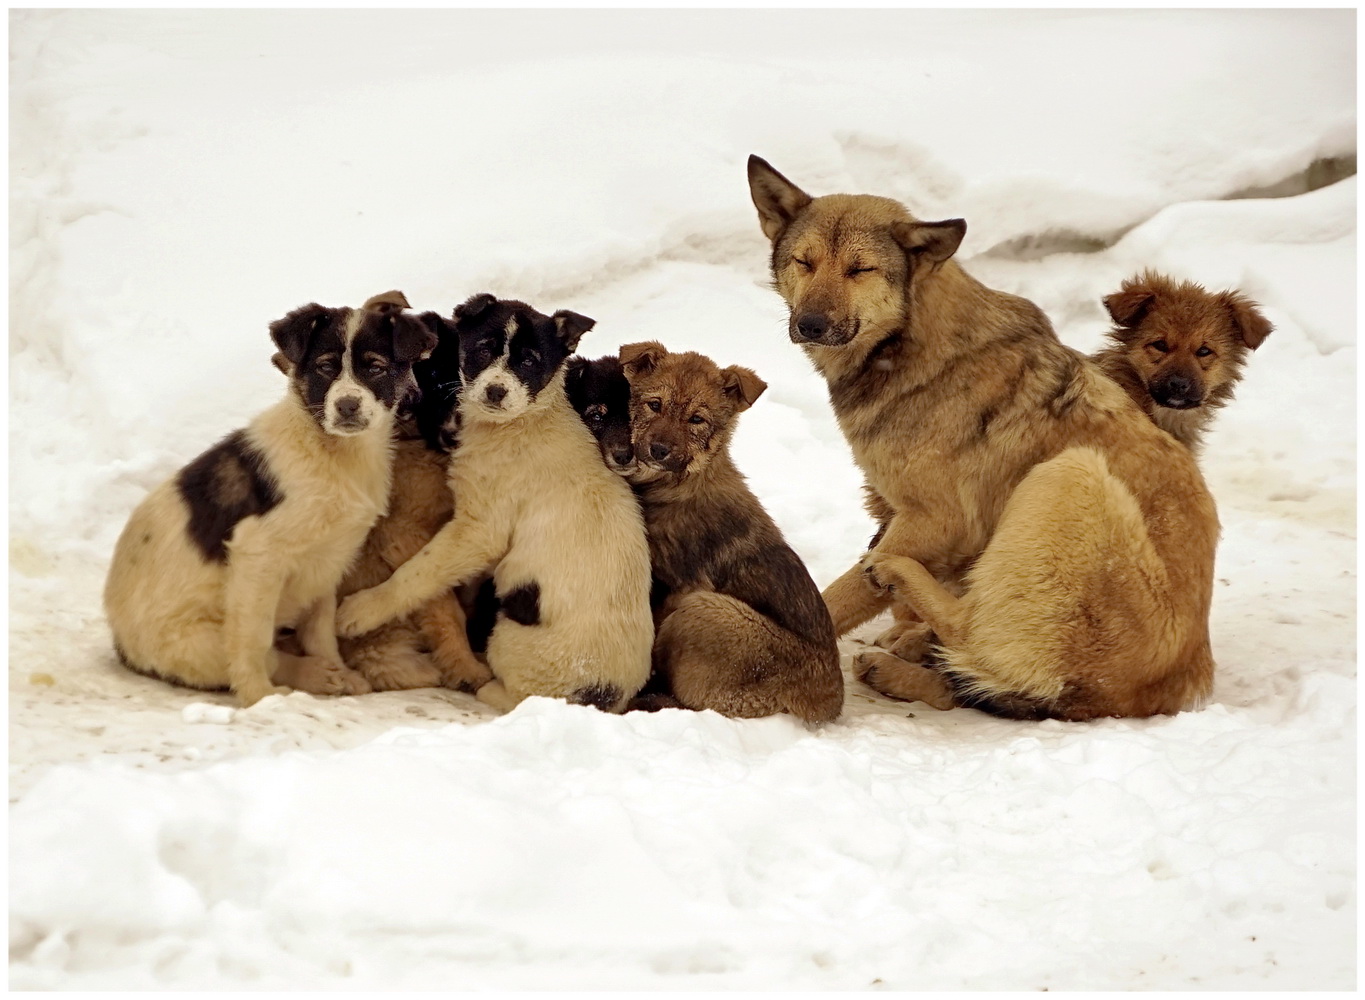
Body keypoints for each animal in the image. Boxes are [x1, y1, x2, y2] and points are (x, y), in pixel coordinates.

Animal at [106, 291, 436, 703]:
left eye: (375, 368)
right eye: (325, 367)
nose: (346, 406)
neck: (331, 450)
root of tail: (119, 642)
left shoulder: (328, 562)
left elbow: (320, 630)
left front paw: (336, 668)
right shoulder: (257, 553)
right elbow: (255, 639)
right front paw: (260, 698)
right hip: (200, 641)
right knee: (266, 654)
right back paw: (309, 678)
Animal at [616, 341, 840, 720]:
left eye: (697, 419)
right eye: (654, 405)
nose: (658, 450)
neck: (680, 483)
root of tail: (831, 704)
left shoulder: (680, 587)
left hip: (703, 610)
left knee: (693, 701)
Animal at [748, 154, 1217, 720]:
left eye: (860, 269)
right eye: (804, 262)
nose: (811, 323)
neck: (913, 348)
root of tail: (1168, 686)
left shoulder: (936, 520)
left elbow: (831, 601)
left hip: (1068, 472)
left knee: (971, 632)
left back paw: (897, 581)